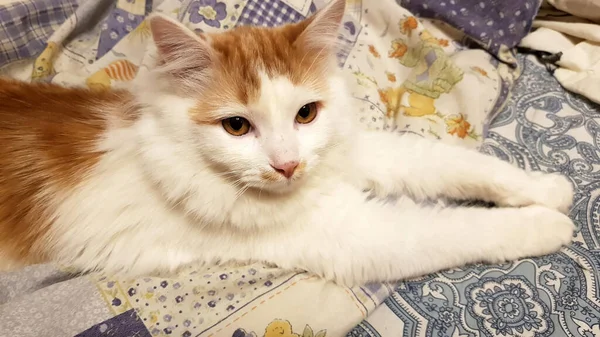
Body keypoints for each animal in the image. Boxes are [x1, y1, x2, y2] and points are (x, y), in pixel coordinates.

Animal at [0, 0, 576, 284]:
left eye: (306, 114)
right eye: (236, 127)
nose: (287, 166)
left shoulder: (352, 153)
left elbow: (448, 163)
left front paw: (548, 190)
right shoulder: (355, 235)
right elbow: (458, 229)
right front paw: (546, 225)